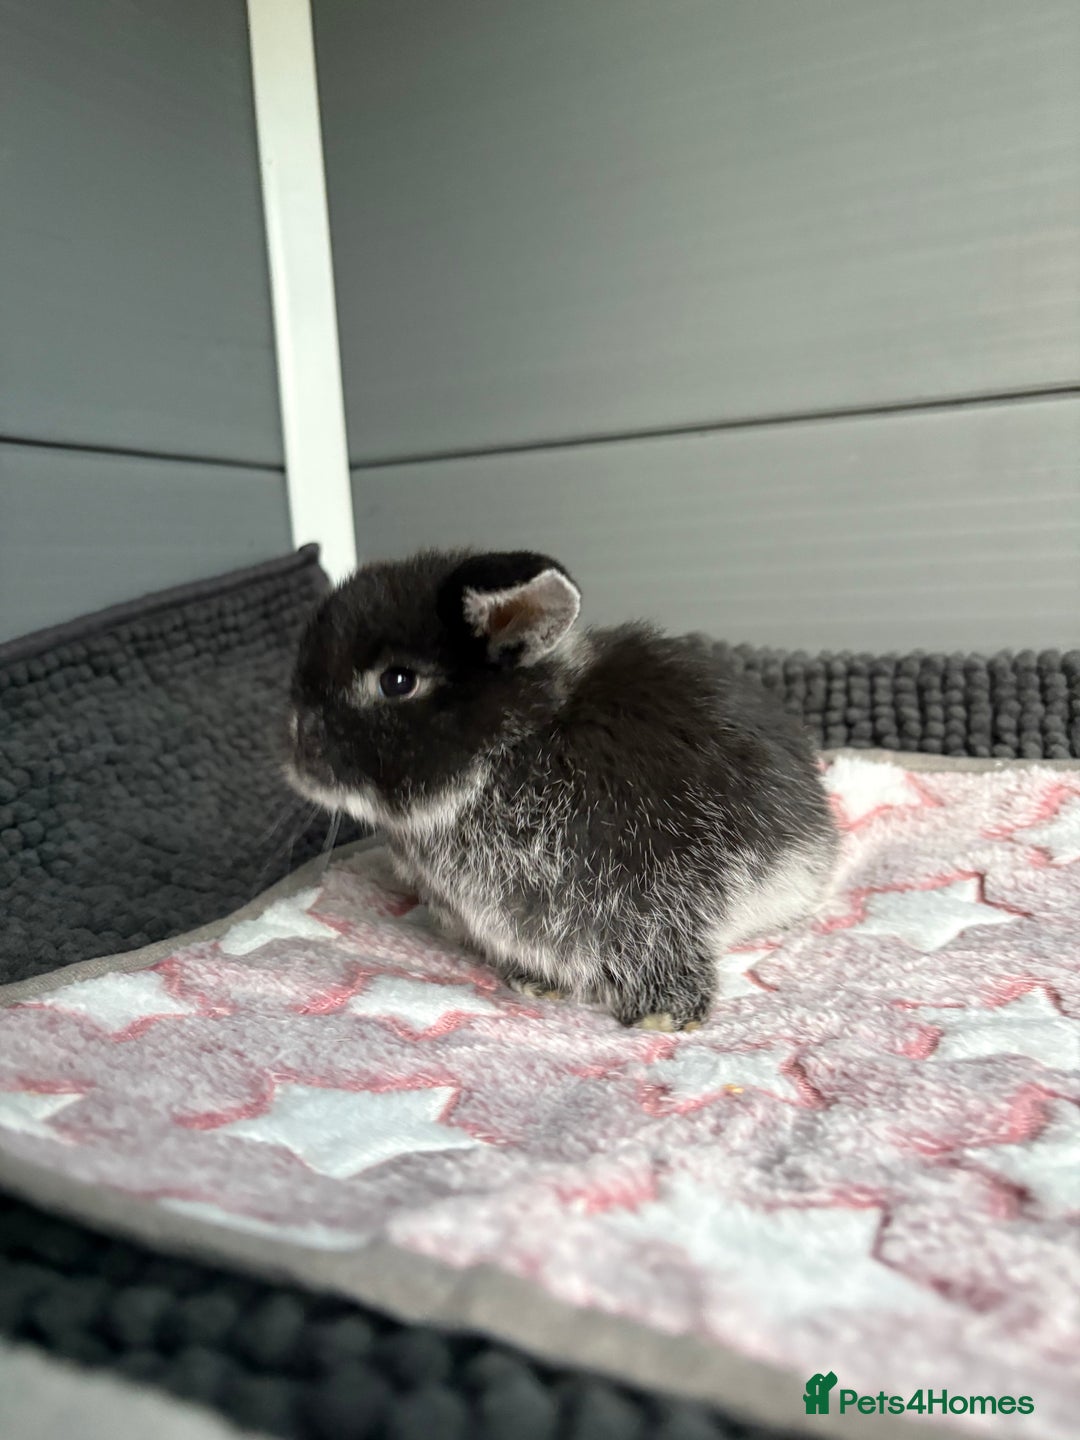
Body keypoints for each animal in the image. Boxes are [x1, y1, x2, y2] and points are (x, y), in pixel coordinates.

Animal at [285, 549, 839, 1031]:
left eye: (397, 681)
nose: (296, 754)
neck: (511, 748)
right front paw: (535, 984)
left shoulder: (649, 896)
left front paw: (664, 1017)